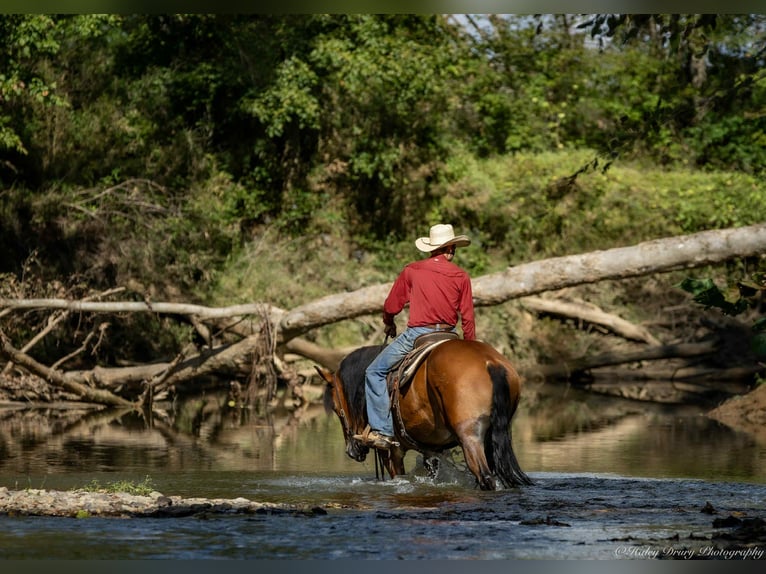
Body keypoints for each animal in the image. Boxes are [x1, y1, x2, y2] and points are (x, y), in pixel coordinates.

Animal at [316, 338, 532, 490]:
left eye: (336, 407)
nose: (351, 451)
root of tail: (490, 363)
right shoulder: (432, 452)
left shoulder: (392, 451)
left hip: (470, 438)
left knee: (485, 476)